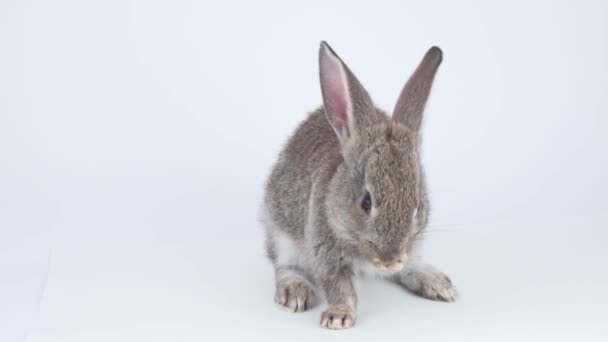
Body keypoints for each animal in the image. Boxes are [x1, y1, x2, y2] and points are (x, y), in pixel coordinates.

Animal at [262, 41, 456, 330]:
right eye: (366, 202)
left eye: (417, 205)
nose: (389, 260)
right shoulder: (325, 250)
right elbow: (339, 286)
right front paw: (339, 316)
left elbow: (408, 266)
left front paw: (437, 284)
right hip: (280, 229)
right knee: (284, 265)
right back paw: (295, 290)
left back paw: (437, 284)